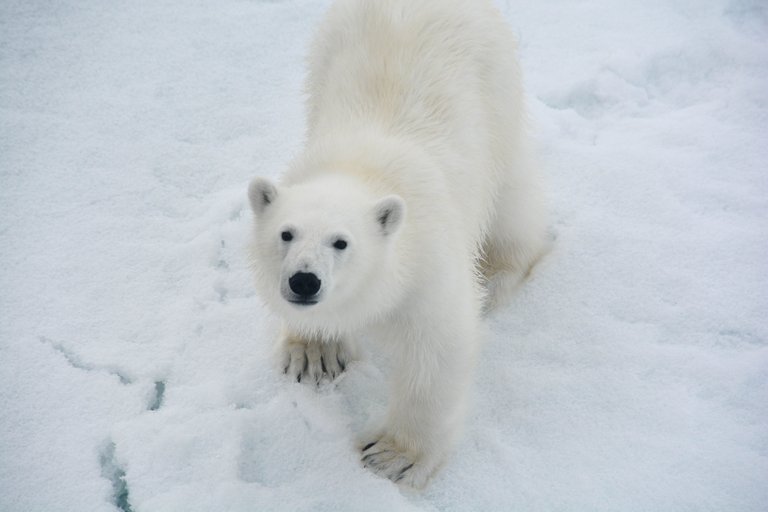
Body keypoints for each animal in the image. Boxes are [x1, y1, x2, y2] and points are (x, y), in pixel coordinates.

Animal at [249, 0, 548, 490]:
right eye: (286, 233)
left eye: (341, 242)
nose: (304, 281)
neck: (363, 168)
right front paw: (315, 354)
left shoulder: (428, 264)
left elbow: (437, 348)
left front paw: (394, 457)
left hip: (498, 87)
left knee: (512, 198)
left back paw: (496, 274)